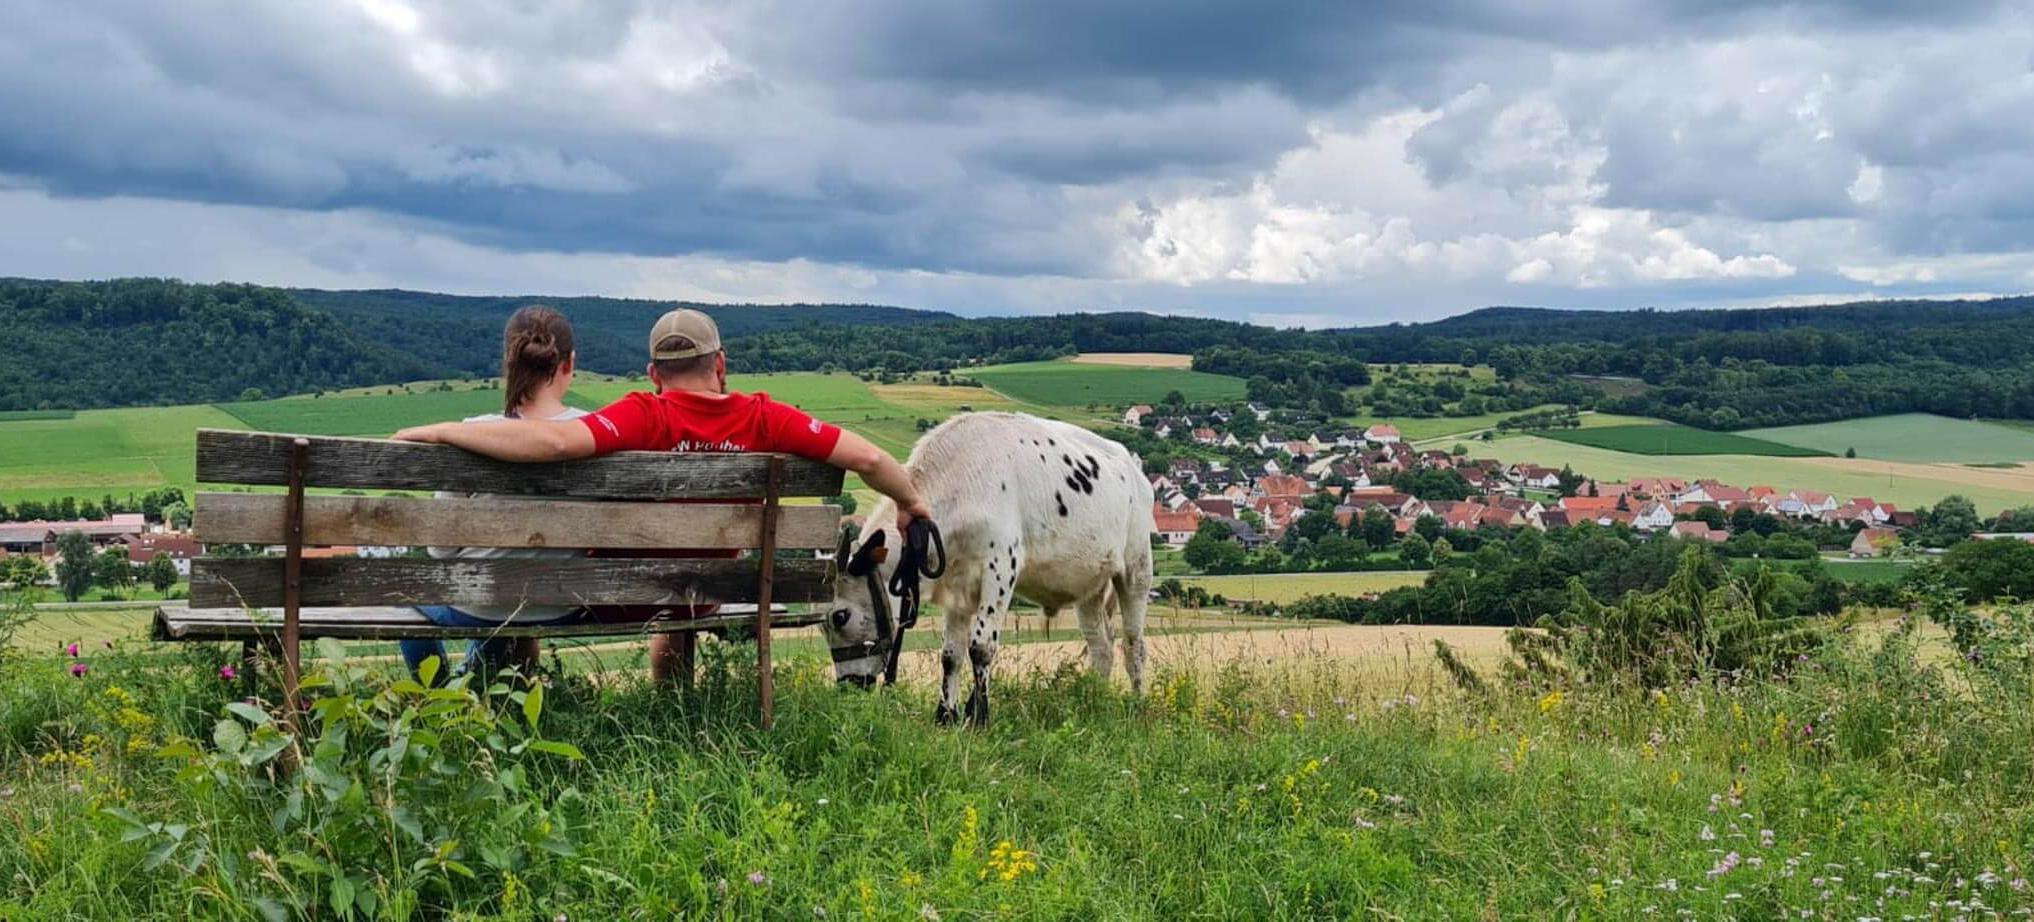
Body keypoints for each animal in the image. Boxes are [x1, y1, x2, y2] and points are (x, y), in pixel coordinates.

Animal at [817, 413, 1155, 720]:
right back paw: (1092, 702)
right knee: (1101, 646)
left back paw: (1137, 706)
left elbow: (981, 647)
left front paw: (978, 715)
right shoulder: (956, 583)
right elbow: (951, 654)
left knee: (1133, 644)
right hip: (1089, 587)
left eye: (840, 616)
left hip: (1137, 568)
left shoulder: (1001, 569)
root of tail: (1134, 467)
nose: (848, 684)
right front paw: (946, 716)